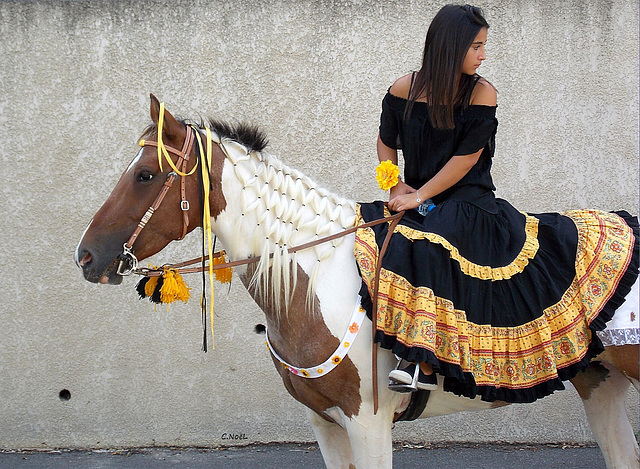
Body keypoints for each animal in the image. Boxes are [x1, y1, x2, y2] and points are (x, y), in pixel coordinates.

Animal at [77, 96, 636, 468]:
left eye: (145, 175)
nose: (86, 257)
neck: (318, 278)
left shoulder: (367, 423)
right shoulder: (324, 423)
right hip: (599, 380)